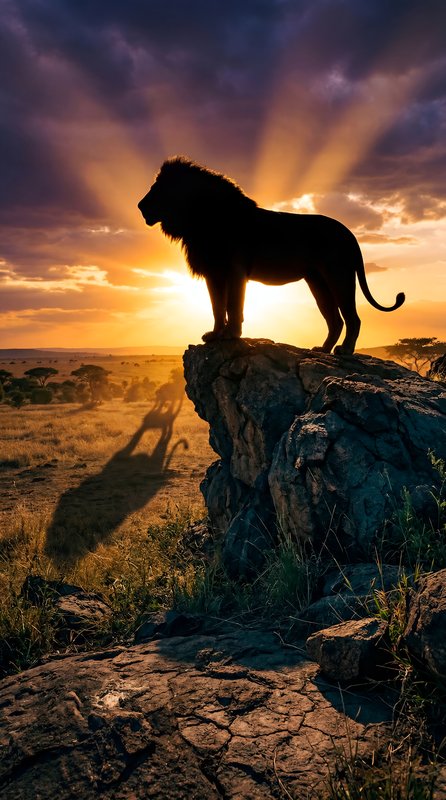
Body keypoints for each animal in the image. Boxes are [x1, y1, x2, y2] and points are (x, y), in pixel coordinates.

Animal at [138, 157, 405, 354]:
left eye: (158, 187)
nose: (140, 206)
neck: (199, 218)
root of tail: (349, 233)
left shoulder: (234, 270)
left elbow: (233, 305)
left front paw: (231, 335)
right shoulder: (213, 273)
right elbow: (216, 306)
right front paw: (214, 335)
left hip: (339, 275)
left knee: (352, 318)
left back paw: (345, 351)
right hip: (317, 281)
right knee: (335, 319)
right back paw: (322, 349)